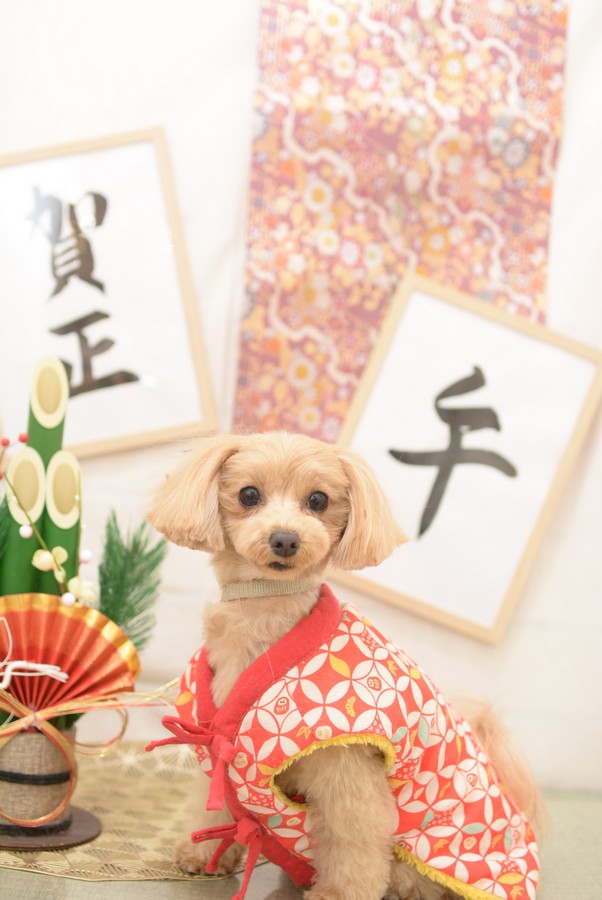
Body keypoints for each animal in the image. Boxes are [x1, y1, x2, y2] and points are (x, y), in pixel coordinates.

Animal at [147, 431, 542, 900]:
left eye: (318, 500)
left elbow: (353, 838)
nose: (285, 539)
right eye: (248, 495)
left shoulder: (346, 768)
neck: (263, 614)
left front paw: (336, 893)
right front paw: (202, 853)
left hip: (422, 867)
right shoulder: (216, 743)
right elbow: (215, 801)